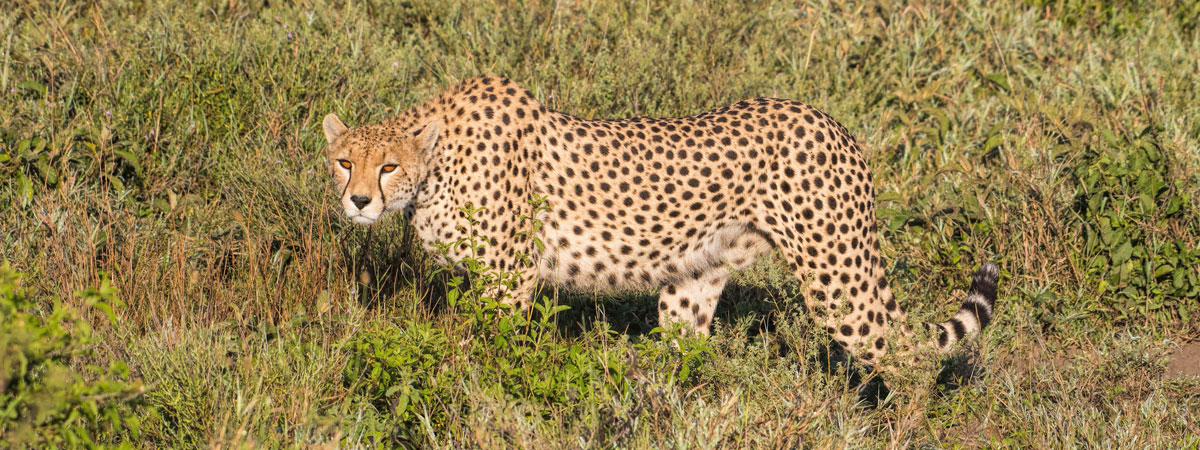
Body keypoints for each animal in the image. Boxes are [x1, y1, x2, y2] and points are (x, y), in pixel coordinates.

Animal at [321, 75, 1003, 369]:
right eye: (344, 162)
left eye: (386, 166)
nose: (358, 202)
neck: (436, 164)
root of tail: (830, 120)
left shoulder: (509, 279)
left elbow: (490, 352)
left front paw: (478, 388)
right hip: (693, 280)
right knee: (684, 354)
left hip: (836, 276)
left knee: (903, 355)